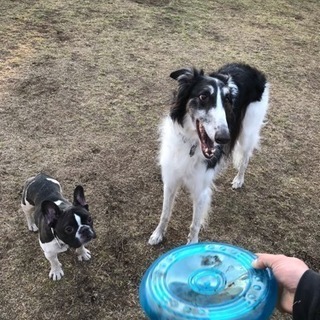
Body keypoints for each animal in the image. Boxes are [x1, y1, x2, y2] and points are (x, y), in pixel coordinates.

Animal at [149, 62, 268, 245]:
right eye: (203, 96)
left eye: (227, 100)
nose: (224, 138)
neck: (192, 145)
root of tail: (251, 68)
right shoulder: (170, 180)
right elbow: (165, 214)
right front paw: (158, 234)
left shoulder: (201, 191)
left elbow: (195, 225)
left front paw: (192, 245)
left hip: (248, 133)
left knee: (245, 159)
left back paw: (239, 180)